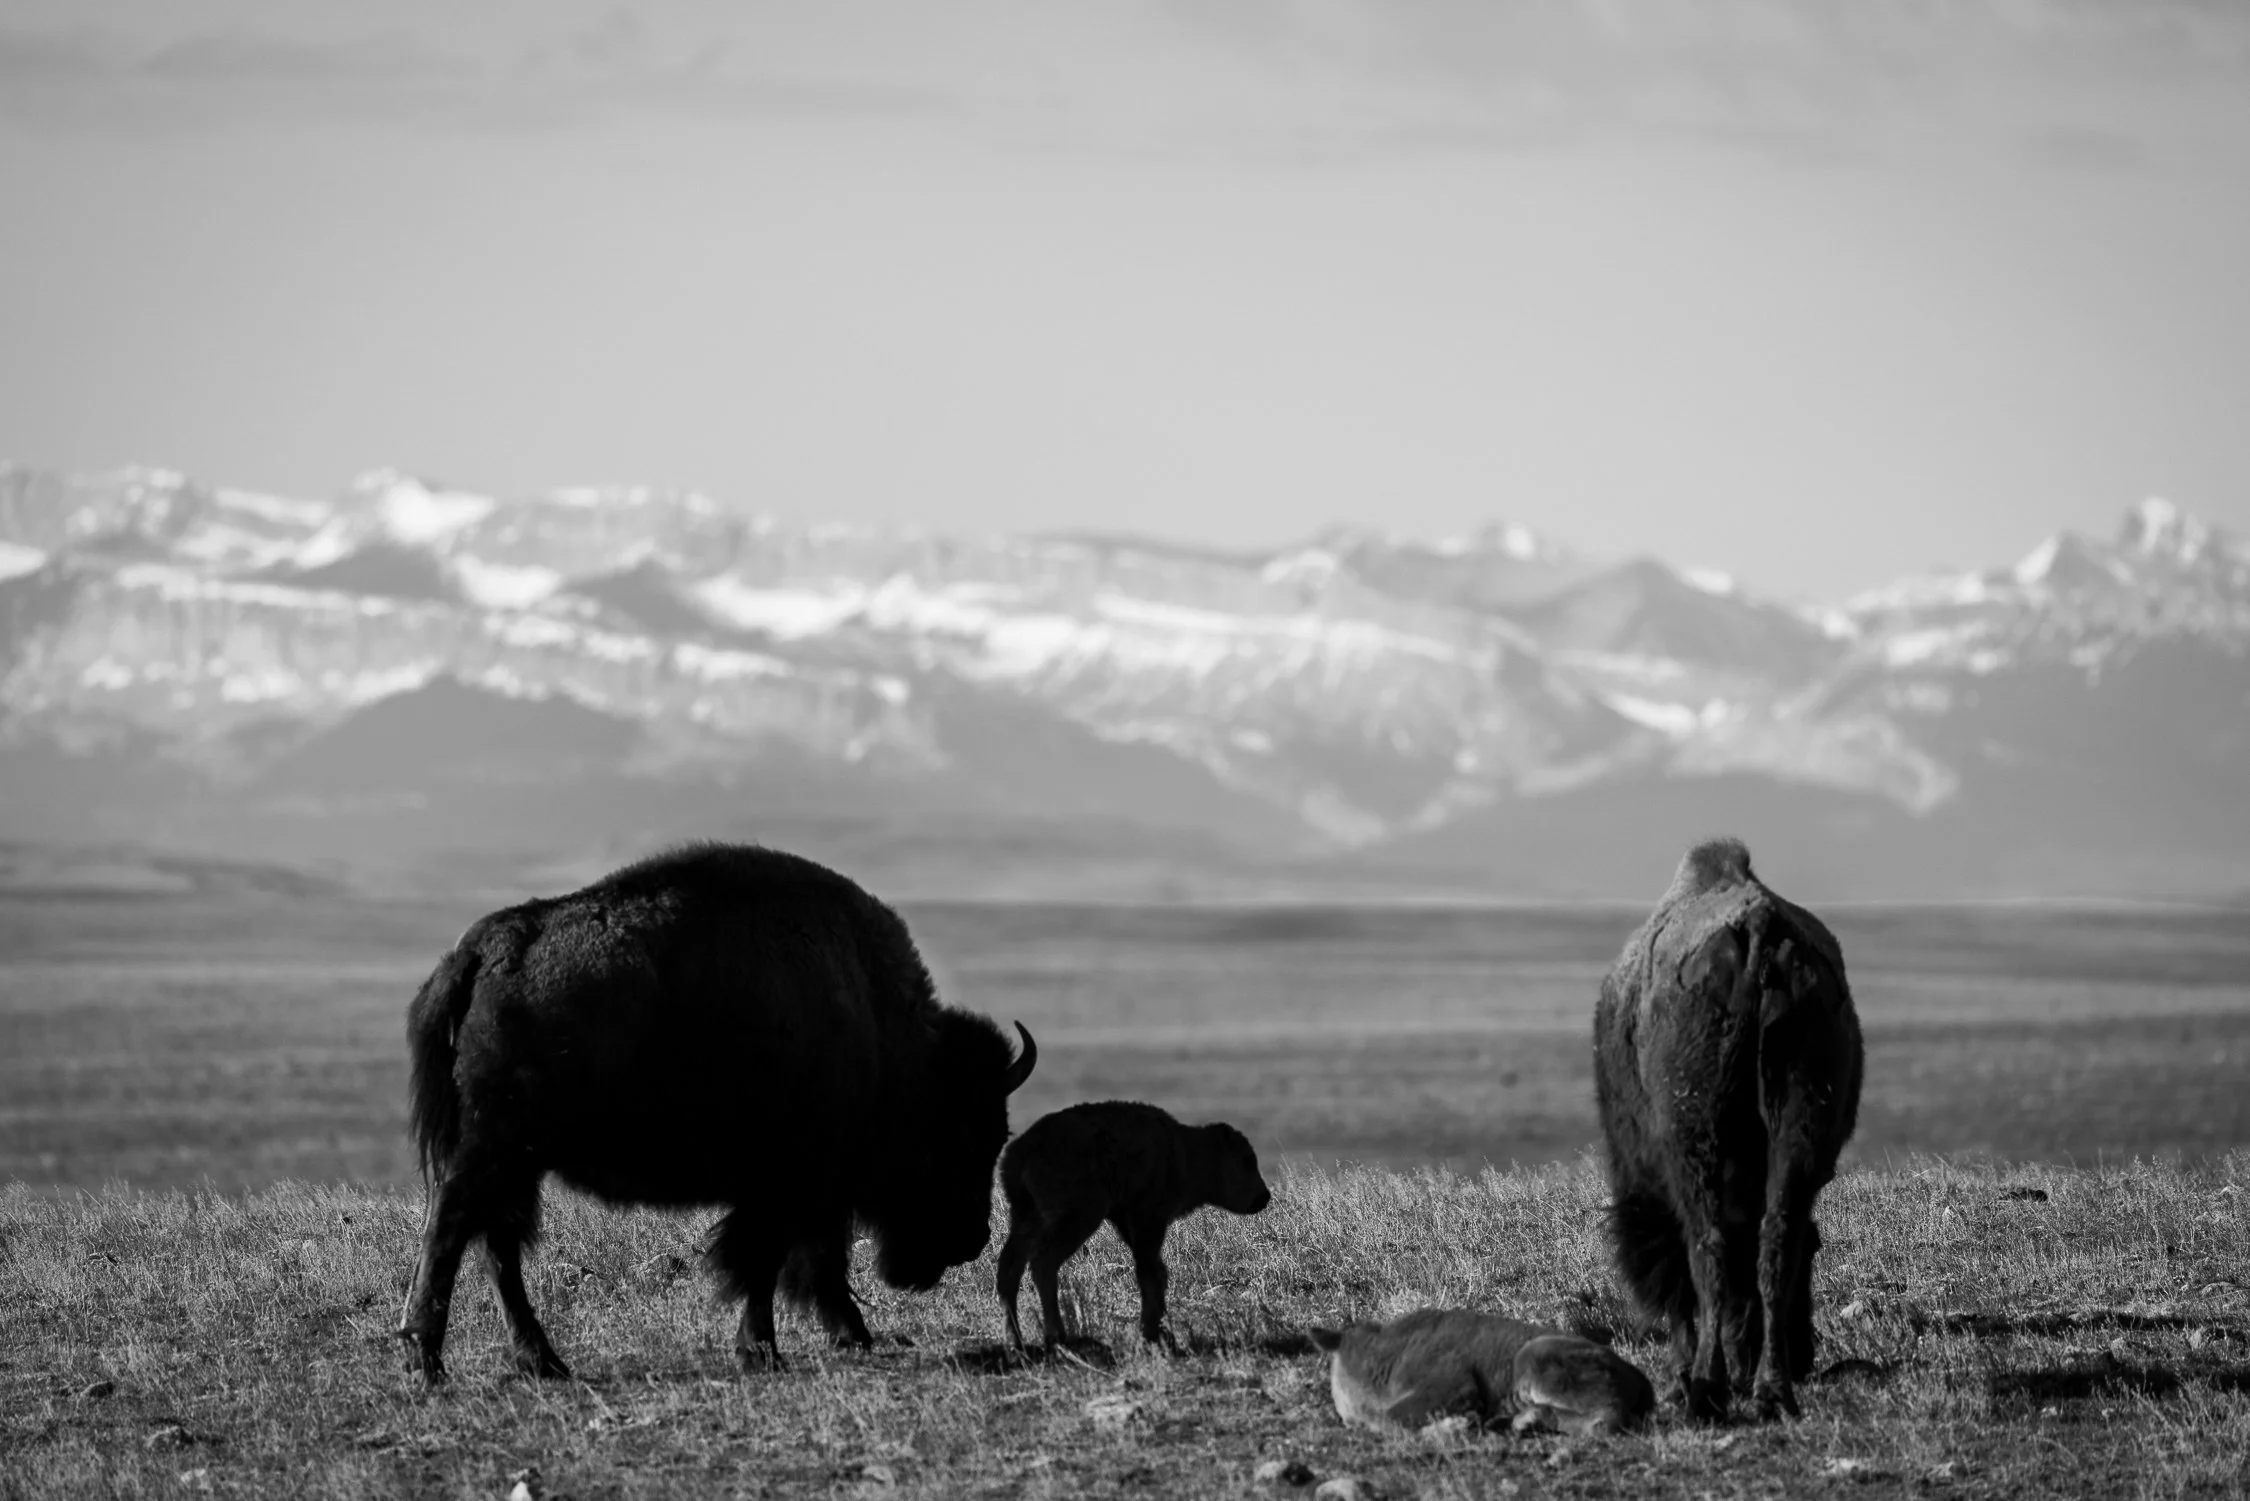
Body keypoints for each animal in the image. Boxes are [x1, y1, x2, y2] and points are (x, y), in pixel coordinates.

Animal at [395, 842, 1037, 1381]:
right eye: (960, 1135)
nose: (972, 1240)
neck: (879, 1031)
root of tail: (483, 949)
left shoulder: (804, 1188)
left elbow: (804, 1259)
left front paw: (844, 1334)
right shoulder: (789, 1183)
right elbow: (767, 1262)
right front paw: (765, 1350)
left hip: (514, 1161)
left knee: (497, 1243)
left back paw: (542, 1360)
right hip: (495, 1148)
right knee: (453, 1230)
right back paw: (428, 1359)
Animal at [1592, 837, 1863, 1422]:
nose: (1807, 1357)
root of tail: (1759, 931)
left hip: (1700, 1145)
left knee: (1708, 1249)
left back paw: (1706, 1390)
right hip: (1800, 1127)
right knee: (1777, 1241)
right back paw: (1771, 1391)